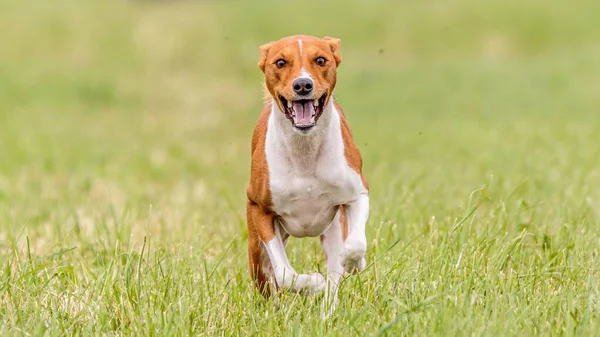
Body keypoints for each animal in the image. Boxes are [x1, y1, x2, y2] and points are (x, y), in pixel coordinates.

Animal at [245, 34, 368, 308]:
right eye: (280, 62)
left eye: (320, 60)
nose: (302, 84)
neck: (304, 151)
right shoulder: (259, 208)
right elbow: (284, 273)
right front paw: (312, 283)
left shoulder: (356, 192)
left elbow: (355, 245)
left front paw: (354, 263)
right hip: (256, 249)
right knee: (268, 280)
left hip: (333, 229)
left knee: (335, 273)